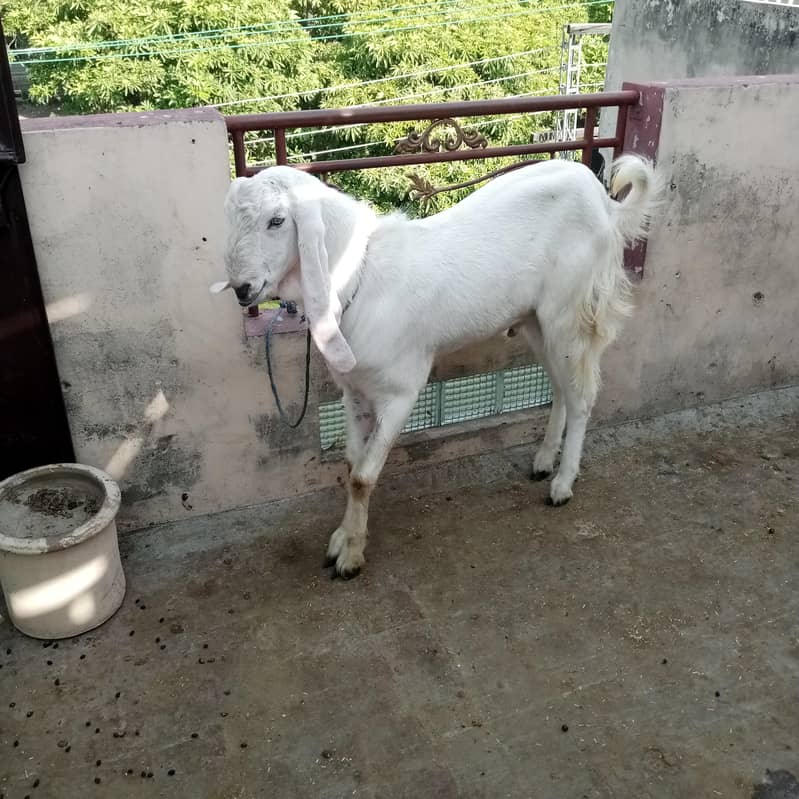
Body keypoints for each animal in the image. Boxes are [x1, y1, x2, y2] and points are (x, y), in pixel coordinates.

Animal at [212, 155, 658, 578]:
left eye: (277, 220)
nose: (242, 290)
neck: (359, 276)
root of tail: (605, 202)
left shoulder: (400, 391)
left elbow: (363, 477)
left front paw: (351, 557)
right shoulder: (353, 390)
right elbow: (352, 464)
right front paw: (342, 539)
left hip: (570, 309)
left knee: (582, 395)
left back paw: (563, 484)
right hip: (536, 319)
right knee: (562, 387)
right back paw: (544, 461)